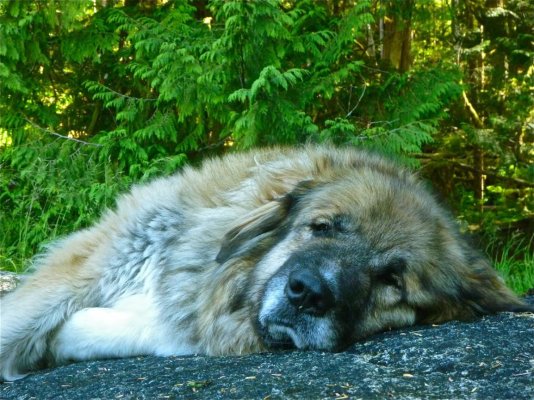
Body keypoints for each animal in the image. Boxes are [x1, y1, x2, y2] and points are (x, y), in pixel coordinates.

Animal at [0, 145, 532, 380]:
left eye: (392, 280)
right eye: (322, 227)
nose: (309, 294)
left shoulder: (179, 322)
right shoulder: (95, 265)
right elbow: (19, 322)